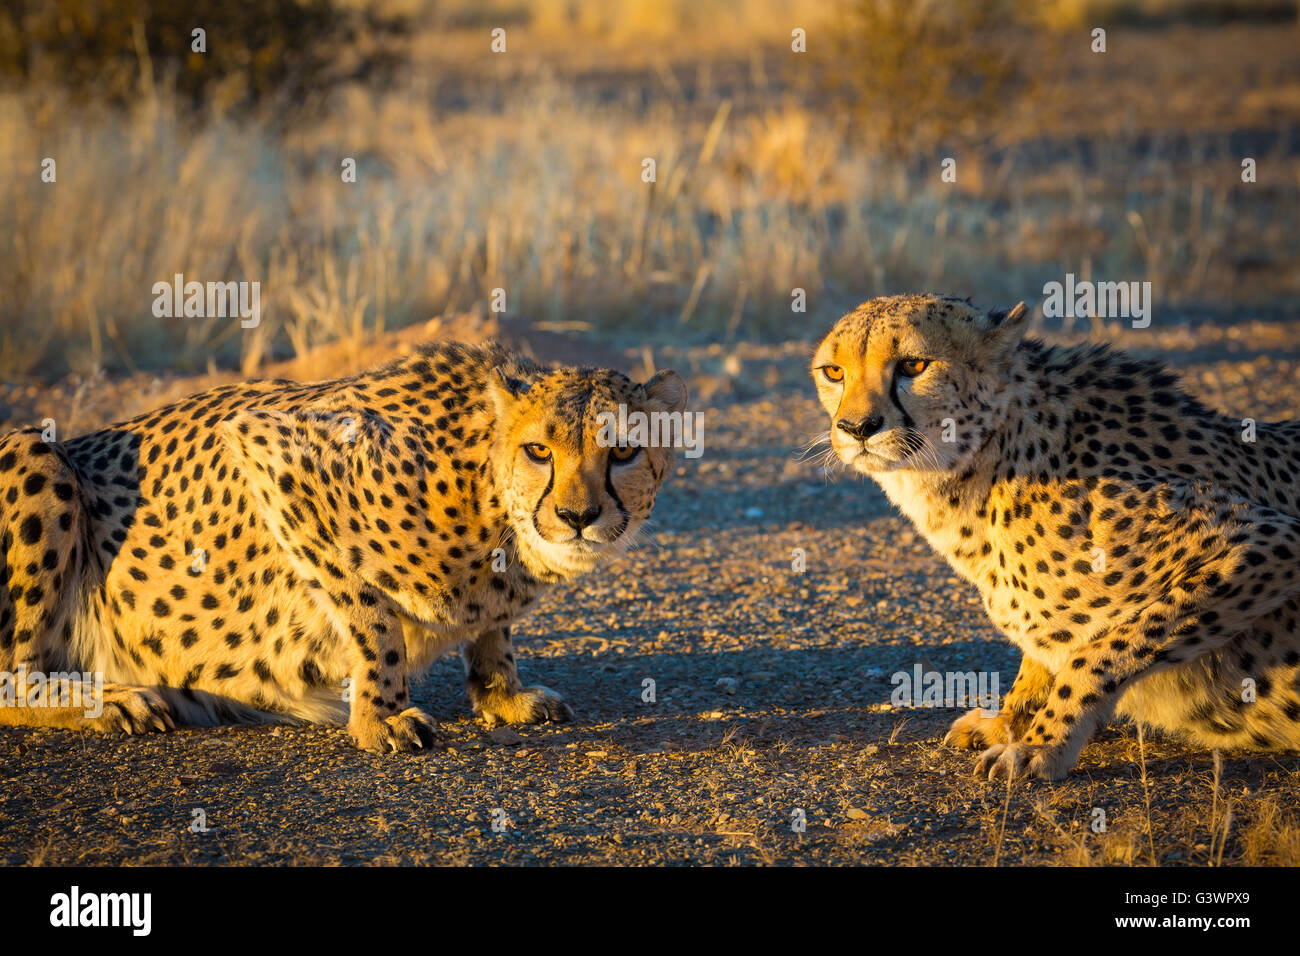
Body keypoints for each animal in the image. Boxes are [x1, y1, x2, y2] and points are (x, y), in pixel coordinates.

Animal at [0, 340, 691, 749]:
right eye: (539, 451)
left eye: (623, 452)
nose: (576, 516)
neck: (484, 490)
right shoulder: (271, 451)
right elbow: (372, 616)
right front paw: (381, 715)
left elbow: (491, 627)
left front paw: (502, 692)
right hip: (36, 451)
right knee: (12, 677)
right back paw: (112, 701)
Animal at [811, 295, 1300, 780]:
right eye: (833, 372)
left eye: (914, 365)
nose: (856, 427)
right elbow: (1043, 656)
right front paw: (1009, 721)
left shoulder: (1269, 539)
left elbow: (1101, 651)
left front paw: (1041, 745)